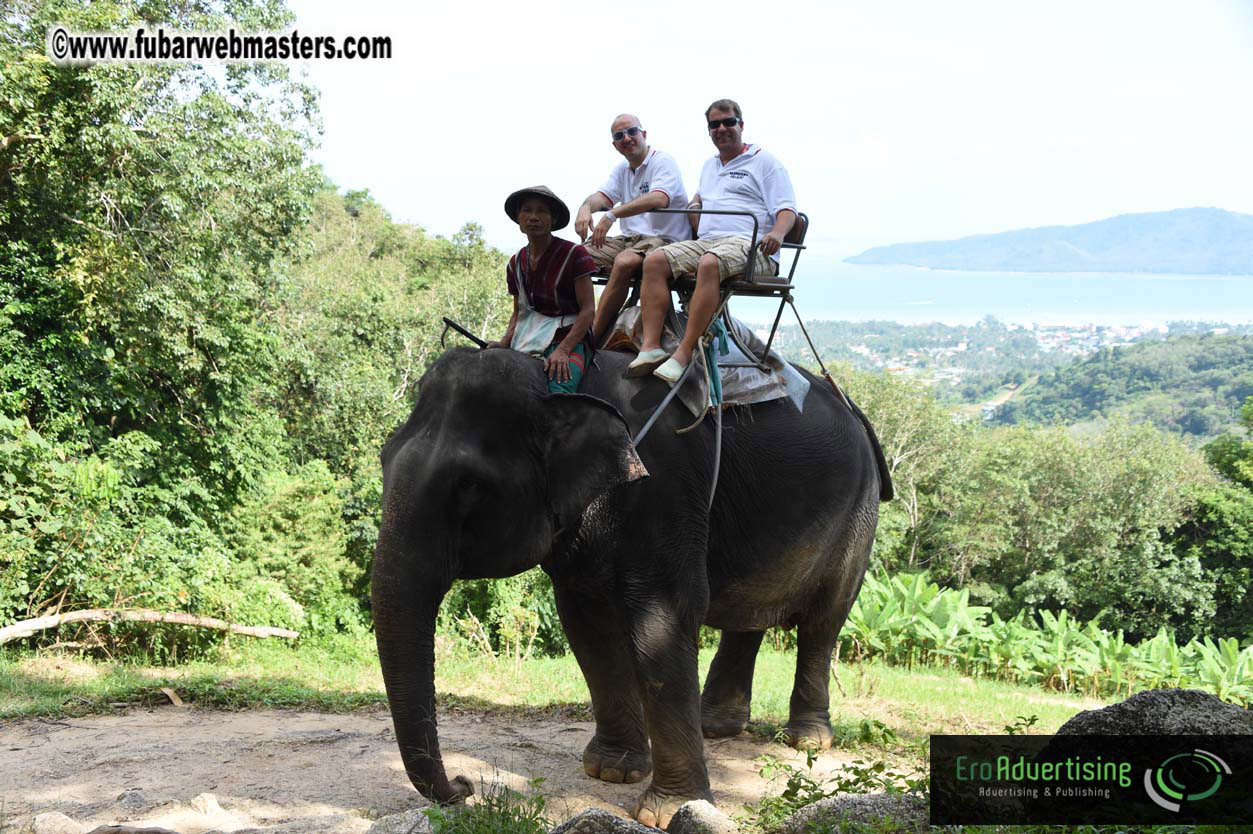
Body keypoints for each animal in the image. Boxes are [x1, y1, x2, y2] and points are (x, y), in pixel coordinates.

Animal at [371, 344, 891, 828]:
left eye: (470, 486)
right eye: (383, 458)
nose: (465, 785)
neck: (559, 383)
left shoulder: (665, 488)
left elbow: (665, 617)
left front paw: (668, 811)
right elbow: (587, 624)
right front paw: (612, 771)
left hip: (858, 516)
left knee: (825, 620)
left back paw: (806, 739)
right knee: (749, 616)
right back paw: (715, 726)